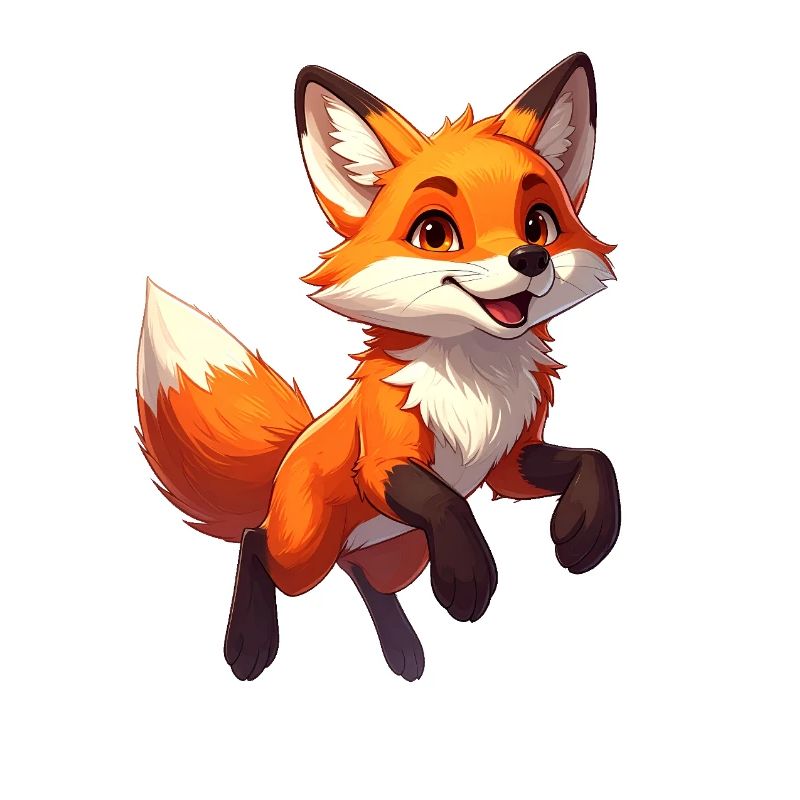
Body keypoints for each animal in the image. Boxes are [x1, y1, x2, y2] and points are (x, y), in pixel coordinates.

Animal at [136, 52, 620, 682]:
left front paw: (583, 530)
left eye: (539, 224)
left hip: (399, 552)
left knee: (364, 577)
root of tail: (283, 465)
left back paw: (402, 650)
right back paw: (249, 643)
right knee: (255, 542)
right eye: (435, 233)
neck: (475, 384)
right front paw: (469, 576)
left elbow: (595, 459)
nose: (531, 258)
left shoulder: (508, 461)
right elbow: (442, 499)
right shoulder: (384, 460)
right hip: (305, 553)